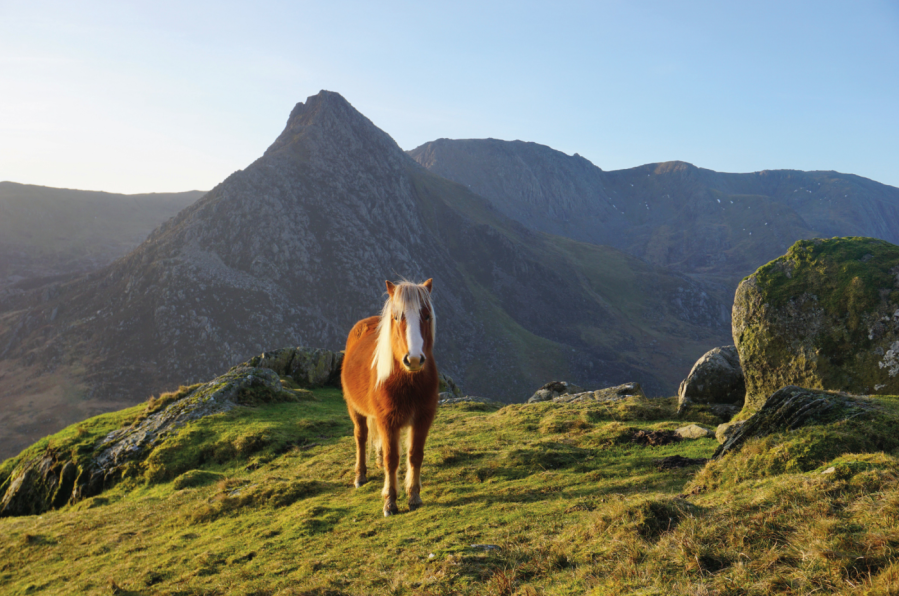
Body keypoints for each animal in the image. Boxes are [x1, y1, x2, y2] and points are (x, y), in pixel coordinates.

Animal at [342, 278, 440, 516]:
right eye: (397, 317)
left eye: (426, 315)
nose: (413, 359)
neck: (407, 380)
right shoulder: (388, 421)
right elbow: (392, 459)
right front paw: (390, 502)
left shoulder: (423, 418)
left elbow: (415, 454)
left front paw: (414, 496)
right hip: (355, 409)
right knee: (361, 437)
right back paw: (360, 476)